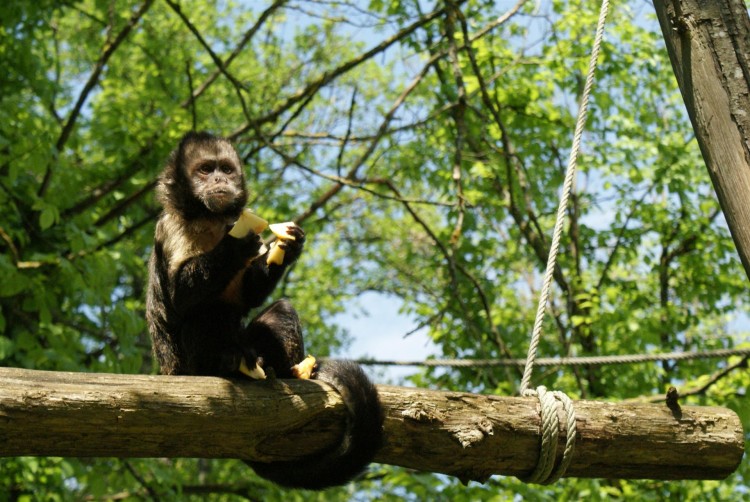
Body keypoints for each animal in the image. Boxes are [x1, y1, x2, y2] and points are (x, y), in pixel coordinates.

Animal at [146, 131, 384, 488]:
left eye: (226, 170)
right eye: (205, 170)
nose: (219, 180)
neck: (209, 219)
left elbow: (249, 296)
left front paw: (288, 246)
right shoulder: (172, 228)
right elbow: (179, 299)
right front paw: (236, 245)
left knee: (276, 312)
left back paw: (286, 370)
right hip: (185, 367)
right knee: (205, 314)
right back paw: (225, 363)